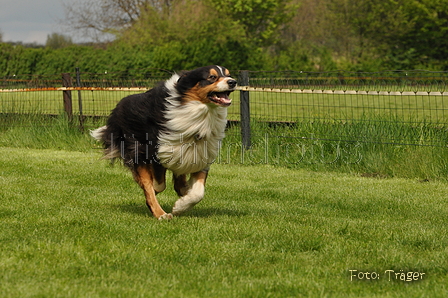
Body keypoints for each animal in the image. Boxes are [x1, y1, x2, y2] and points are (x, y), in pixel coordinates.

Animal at [91, 66, 238, 219]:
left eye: (228, 74)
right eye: (212, 77)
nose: (233, 82)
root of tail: (118, 107)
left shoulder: (200, 153)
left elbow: (197, 192)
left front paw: (181, 204)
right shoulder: (156, 152)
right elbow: (156, 185)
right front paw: (175, 201)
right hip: (136, 148)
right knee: (150, 185)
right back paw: (160, 213)